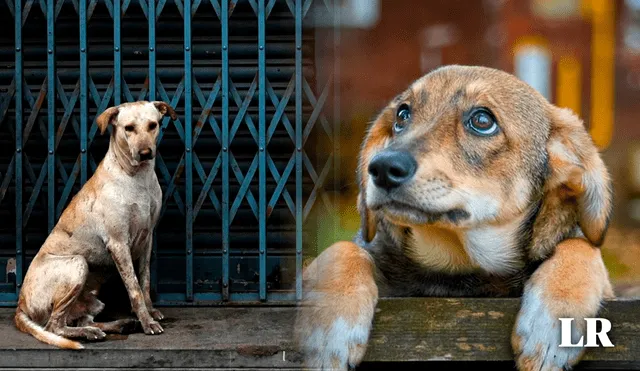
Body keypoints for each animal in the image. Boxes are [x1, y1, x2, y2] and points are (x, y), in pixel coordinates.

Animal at [14, 100, 178, 350]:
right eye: (128, 128)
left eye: (153, 125)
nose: (145, 153)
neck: (136, 177)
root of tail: (20, 304)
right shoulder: (119, 243)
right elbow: (134, 288)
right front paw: (147, 321)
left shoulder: (147, 238)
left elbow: (145, 280)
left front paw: (149, 312)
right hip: (77, 264)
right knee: (55, 326)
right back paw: (89, 333)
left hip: (93, 299)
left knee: (80, 319)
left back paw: (115, 326)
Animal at [294, 65, 616, 370]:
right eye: (402, 114)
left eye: (483, 121)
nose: (382, 167)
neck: (457, 265)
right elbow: (343, 249)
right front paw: (329, 331)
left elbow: (580, 246)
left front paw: (552, 324)